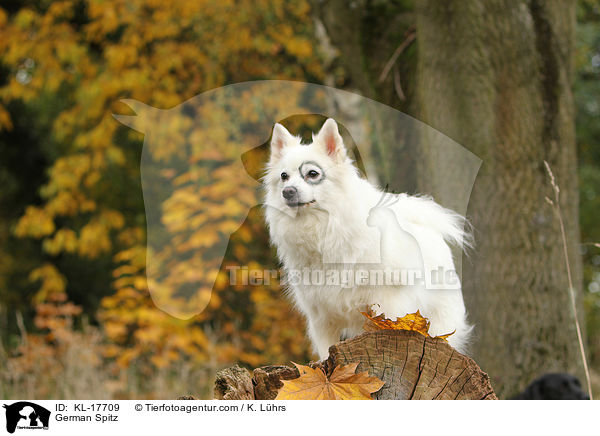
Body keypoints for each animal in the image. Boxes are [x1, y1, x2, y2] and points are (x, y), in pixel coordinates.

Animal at [264, 118, 472, 358]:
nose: (287, 191)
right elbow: (326, 351)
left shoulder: (388, 305)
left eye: (313, 174)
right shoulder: (322, 318)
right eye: (283, 176)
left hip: (438, 322)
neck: (323, 230)